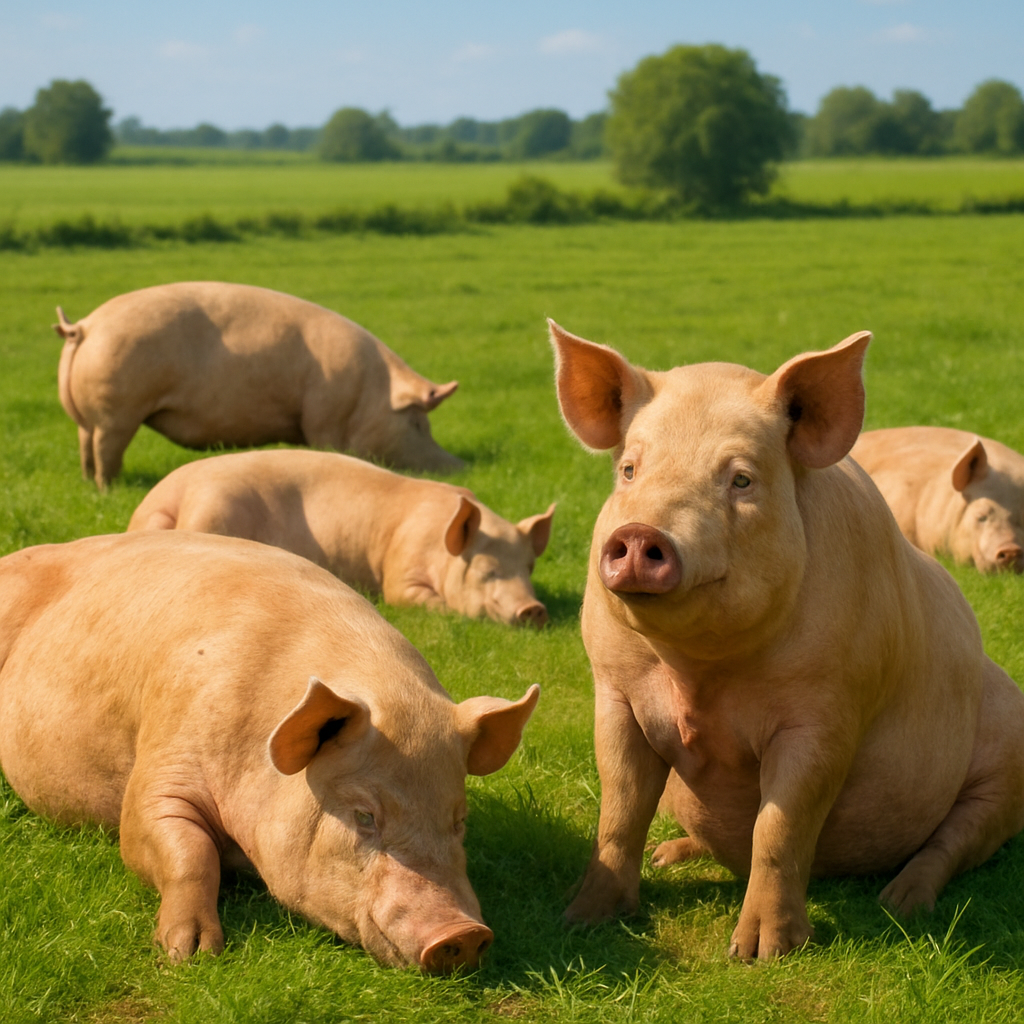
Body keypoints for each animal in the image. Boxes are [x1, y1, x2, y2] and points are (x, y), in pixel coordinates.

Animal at [0, 530, 539, 970]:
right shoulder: (163, 761)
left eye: (459, 820)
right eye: (364, 815)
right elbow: (181, 850)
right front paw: (189, 954)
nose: (463, 934)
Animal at [52, 281, 463, 489]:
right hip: (118, 412)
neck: (368, 392)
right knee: (106, 449)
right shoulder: (325, 417)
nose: (459, 465)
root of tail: (83, 326)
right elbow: (328, 448)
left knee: (85, 444)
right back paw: (110, 488)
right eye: (418, 422)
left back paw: (89, 484)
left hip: (86, 417)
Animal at [126, 449, 555, 627]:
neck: (438, 546)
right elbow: (412, 598)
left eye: (529, 568)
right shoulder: (400, 573)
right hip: (217, 508)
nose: (533, 609)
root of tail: (168, 498)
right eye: (486, 571)